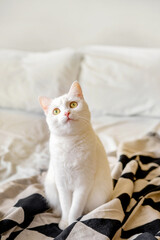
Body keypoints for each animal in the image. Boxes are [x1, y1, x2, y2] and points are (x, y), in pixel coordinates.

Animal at [39, 81, 112, 230]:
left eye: (73, 104)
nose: (67, 113)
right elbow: (66, 206)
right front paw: (64, 223)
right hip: (51, 186)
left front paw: (72, 223)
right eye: (56, 111)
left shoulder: (83, 184)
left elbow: (75, 208)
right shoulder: (62, 184)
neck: (70, 143)